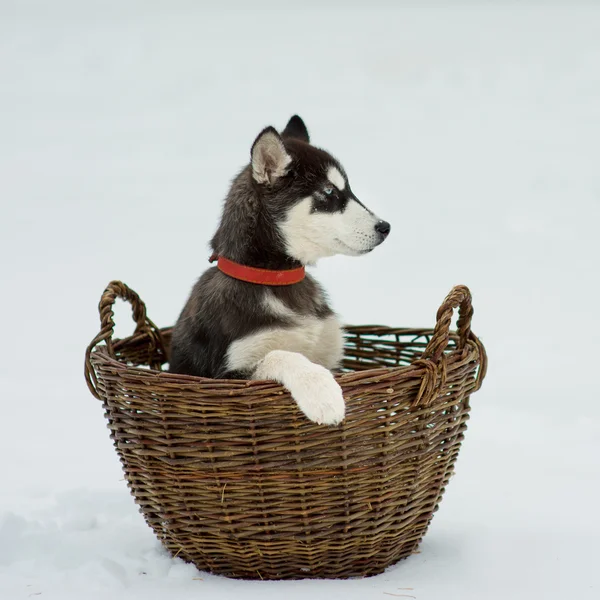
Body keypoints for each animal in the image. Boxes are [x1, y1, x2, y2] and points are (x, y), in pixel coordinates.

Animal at [171, 117, 392, 424]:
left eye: (349, 190)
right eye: (329, 192)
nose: (385, 227)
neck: (276, 280)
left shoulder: (331, 356)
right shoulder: (227, 374)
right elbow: (281, 355)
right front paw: (322, 394)